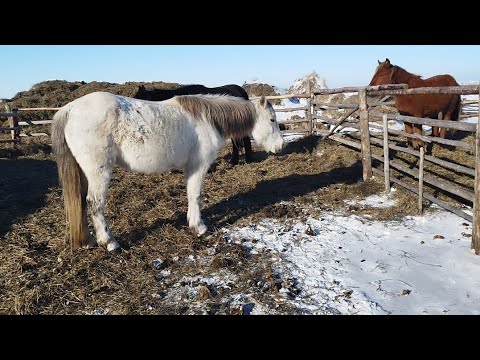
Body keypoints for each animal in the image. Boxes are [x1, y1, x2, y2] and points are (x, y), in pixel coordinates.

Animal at [51, 91, 284, 252]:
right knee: (94, 203)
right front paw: (199, 227)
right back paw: (109, 243)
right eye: (272, 120)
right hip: (98, 172)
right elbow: (196, 195)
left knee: (81, 201)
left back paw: (88, 240)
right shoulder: (198, 166)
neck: (207, 119)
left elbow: (191, 195)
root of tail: (69, 109)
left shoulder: (190, 168)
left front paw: (192, 223)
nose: (280, 146)